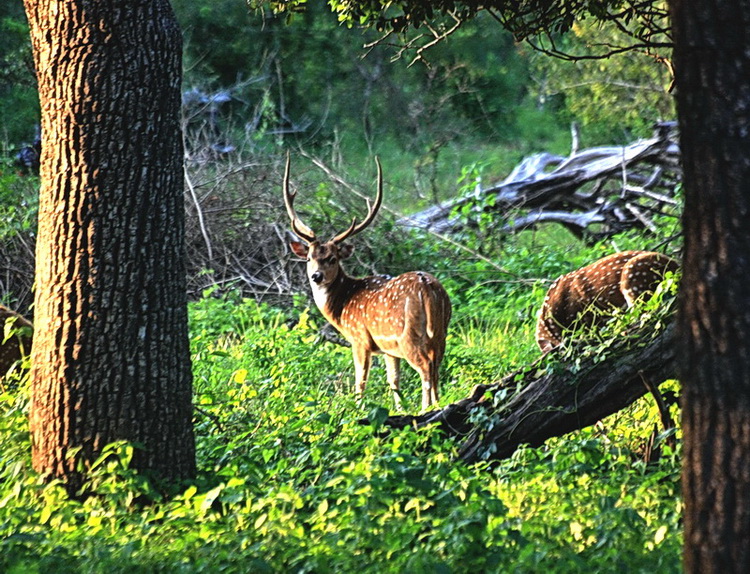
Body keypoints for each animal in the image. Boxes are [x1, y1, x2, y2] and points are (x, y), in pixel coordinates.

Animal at [284, 155, 452, 412]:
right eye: (309, 257)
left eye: (332, 258)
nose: (316, 276)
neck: (342, 307)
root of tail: (428, 288)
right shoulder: (388, 348)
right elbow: (393, 381)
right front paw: (399, 409)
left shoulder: (360, 338)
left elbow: (360, 380)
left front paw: (357, 408)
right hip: (441, 331)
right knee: (436, 368)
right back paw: (437, 404)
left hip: (409, 334)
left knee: (425, 368)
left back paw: (425, 408)